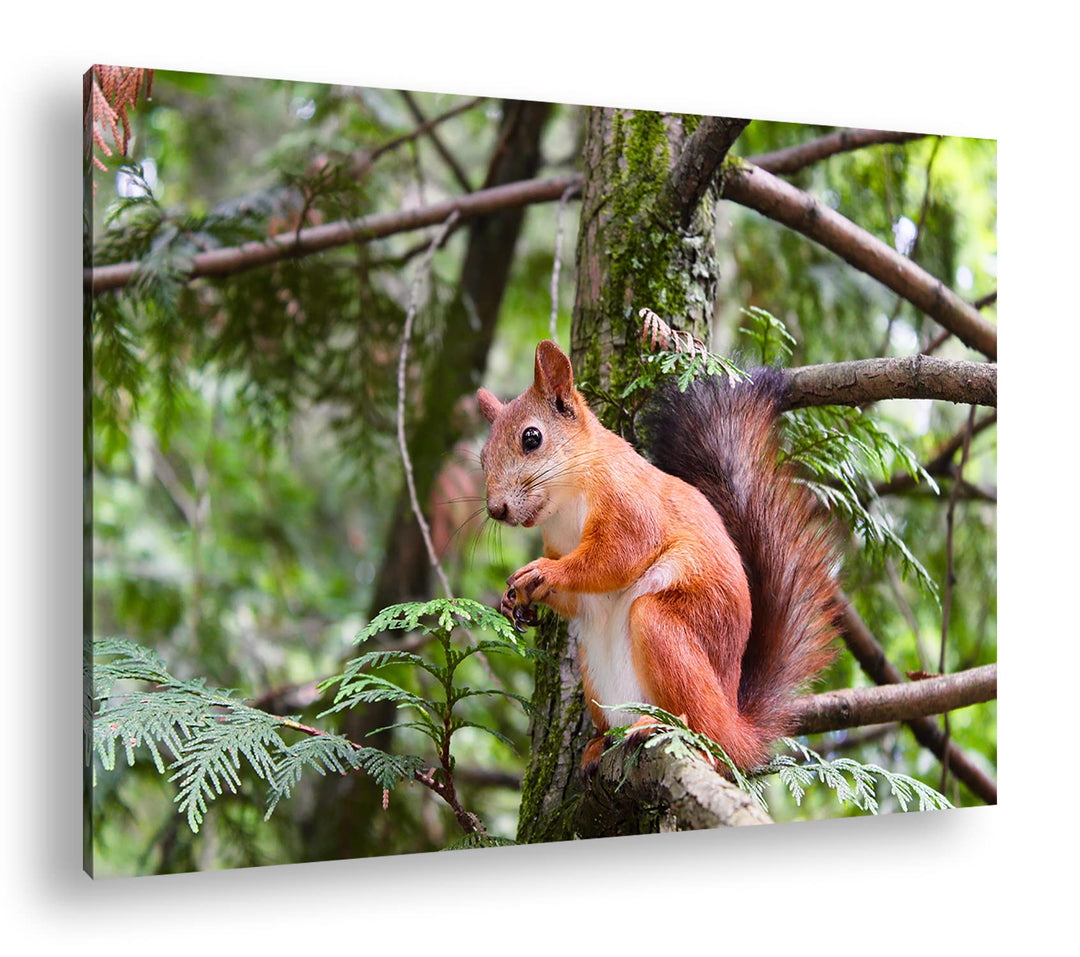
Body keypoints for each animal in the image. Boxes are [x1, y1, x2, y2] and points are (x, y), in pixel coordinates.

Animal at [477, 339, 840, 772]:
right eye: (482, 457)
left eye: (531, 438)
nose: (496, 509)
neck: (565, 505)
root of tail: (738, 731)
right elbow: (578, 598)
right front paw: (517, 599)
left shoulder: (631, 504)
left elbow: (616, 556)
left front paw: (546, 573)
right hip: (593, 670)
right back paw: (599, 744)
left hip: (664, 629)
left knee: (703, 728)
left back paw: (664, 726)